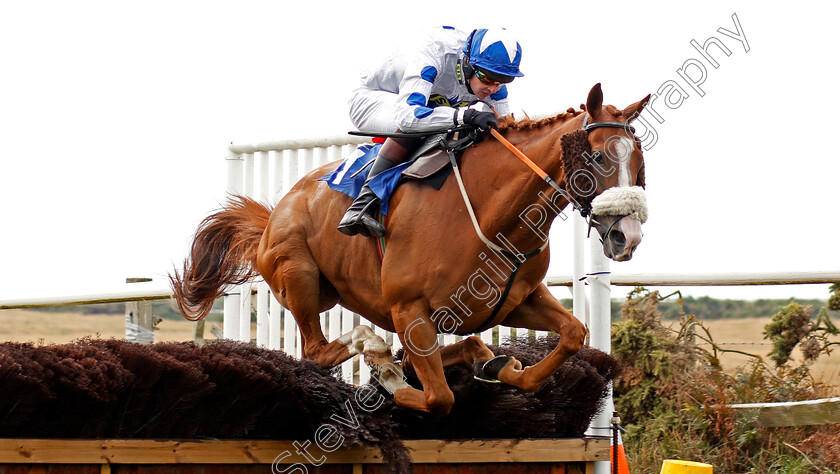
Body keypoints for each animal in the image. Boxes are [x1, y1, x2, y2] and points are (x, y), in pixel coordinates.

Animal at [171, 84, 652, 414]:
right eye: (598, 158)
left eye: (639, 159)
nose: (627, 237)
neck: (490, 216)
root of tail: (274, 212)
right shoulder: (409, 310)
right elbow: (438, 397)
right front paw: (387, 378)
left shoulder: (515, 300)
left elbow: (572, 333)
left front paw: (505, 367)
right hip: (298, 275)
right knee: (318, 350)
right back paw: (376, 350)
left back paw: (469, 358)